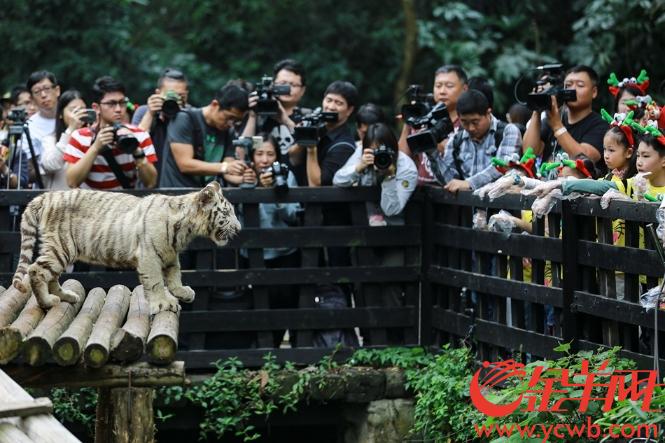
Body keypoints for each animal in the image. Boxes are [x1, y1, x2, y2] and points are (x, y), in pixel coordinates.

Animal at [11, 181, 240, 316]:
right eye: (227, 213)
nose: (239, 228)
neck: (186, 229)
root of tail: (47, 196)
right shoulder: (149, 255)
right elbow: (156, 282)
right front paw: (163, 304)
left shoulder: (169, 255)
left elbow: (175, 276)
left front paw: (183, 292)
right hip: (62, 247)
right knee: (35, 270)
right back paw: (47, 302)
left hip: (61, 250)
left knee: (51, 275)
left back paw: (66, 296)